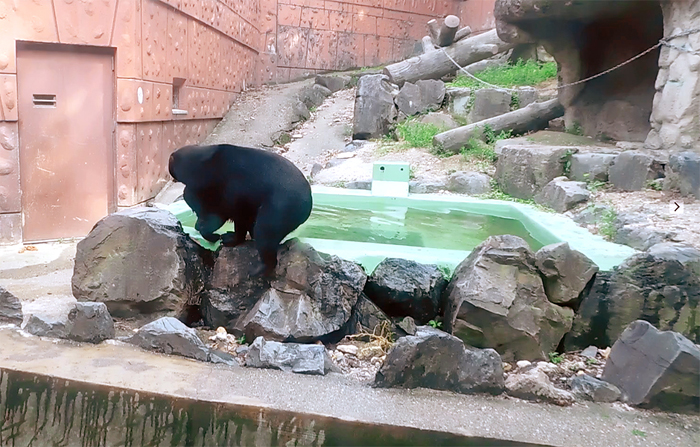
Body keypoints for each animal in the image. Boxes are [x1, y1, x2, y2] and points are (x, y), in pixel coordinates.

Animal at [168, 144, 314, 276]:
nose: (197, 225)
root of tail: (307, 203)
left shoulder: (228, 188)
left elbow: (225, 213)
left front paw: (221, 237)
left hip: (279, 209)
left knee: (264, 232)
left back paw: (257, 269)